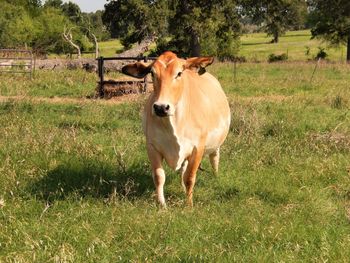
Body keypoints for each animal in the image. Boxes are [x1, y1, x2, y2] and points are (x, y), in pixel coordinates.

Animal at [121, 51, 231, 208]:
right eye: (152, 73)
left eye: (179, 73)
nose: (161, 107)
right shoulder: (152, 146)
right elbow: (159, 176)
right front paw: (162, 204)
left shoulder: (198, 148)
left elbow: (190, 177)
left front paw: (189, 205)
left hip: (216, 143)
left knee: (214, 158)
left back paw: (215, 177)